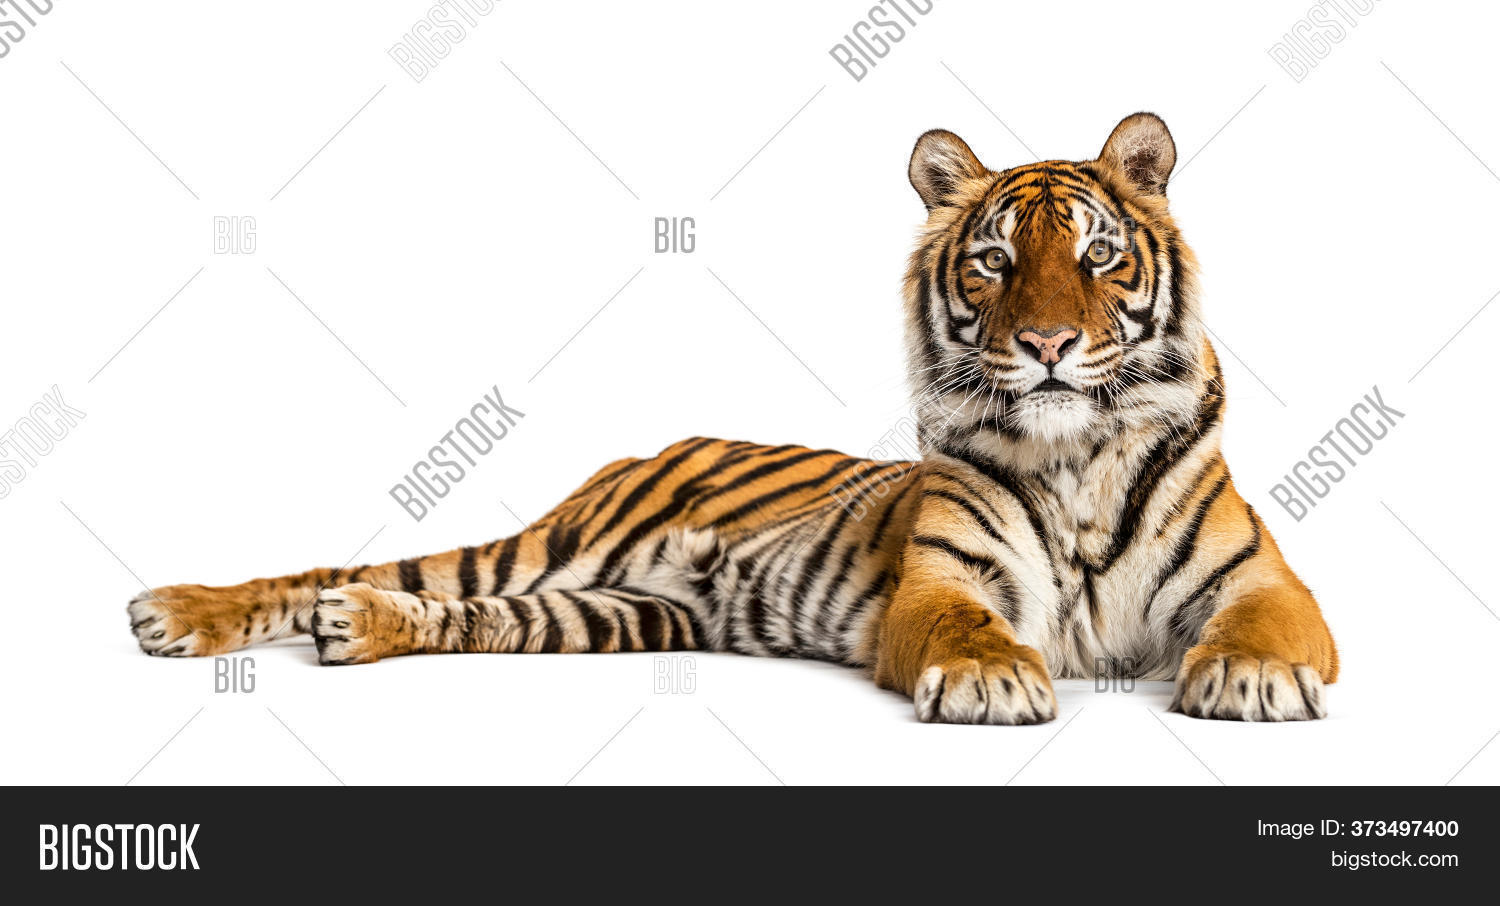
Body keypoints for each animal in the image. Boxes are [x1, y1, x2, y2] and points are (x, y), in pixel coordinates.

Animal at [128, 113, 1337, 724]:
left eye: (1098, 257)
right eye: (995, 262)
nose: (1045, 345)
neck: (1074, 454)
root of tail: (654, 442)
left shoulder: (1265, 583)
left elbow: (1266, 629)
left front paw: (1249, 679)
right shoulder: (944, 582)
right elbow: (966, 627)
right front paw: (993, 679)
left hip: (623, 613)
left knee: (467, 617)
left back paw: (360, 627)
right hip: (550, 550)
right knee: (342, 571)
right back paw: (177, 613)